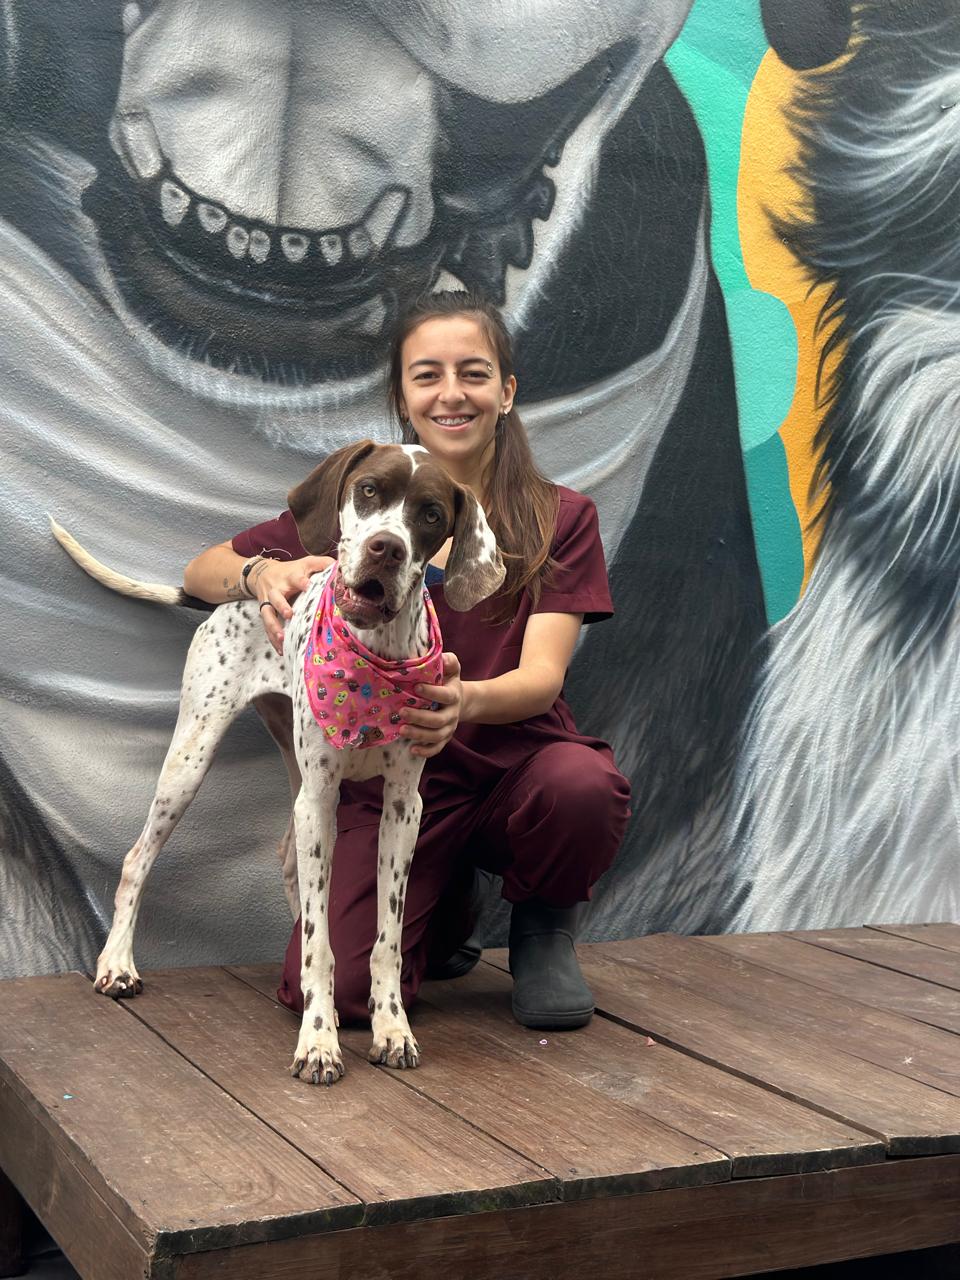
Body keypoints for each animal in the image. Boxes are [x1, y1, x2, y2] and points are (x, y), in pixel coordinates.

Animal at [51, 440, 505, 1084]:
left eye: (432, 514)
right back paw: (117, 964)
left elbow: (385, 939)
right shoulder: (320, 800)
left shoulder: (403, 808)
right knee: (140, 858)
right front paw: (317, 1041)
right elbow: (320, 944)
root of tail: (239, 595)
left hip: (295, 781)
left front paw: (391, 1027)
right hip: (194, 758)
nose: (386, 548)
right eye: (369, 489)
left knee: (291, 867)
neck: (376, 657)